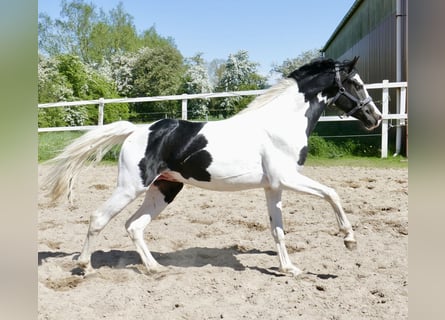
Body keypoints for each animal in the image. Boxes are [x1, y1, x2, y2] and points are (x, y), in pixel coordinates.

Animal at [43, 56, 380, 276]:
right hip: (131, 187)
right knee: (99, 218)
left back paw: (155, 268)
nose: (375, 118)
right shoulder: (288, 178)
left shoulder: (274, 186)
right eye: (356, 83)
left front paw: (289, 268)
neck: (280, 124)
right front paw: (349, 239)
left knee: (134, 226)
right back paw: (84, 266)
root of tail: (137, 131)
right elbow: (332, 193)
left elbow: (278, 230)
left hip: (165, 189)